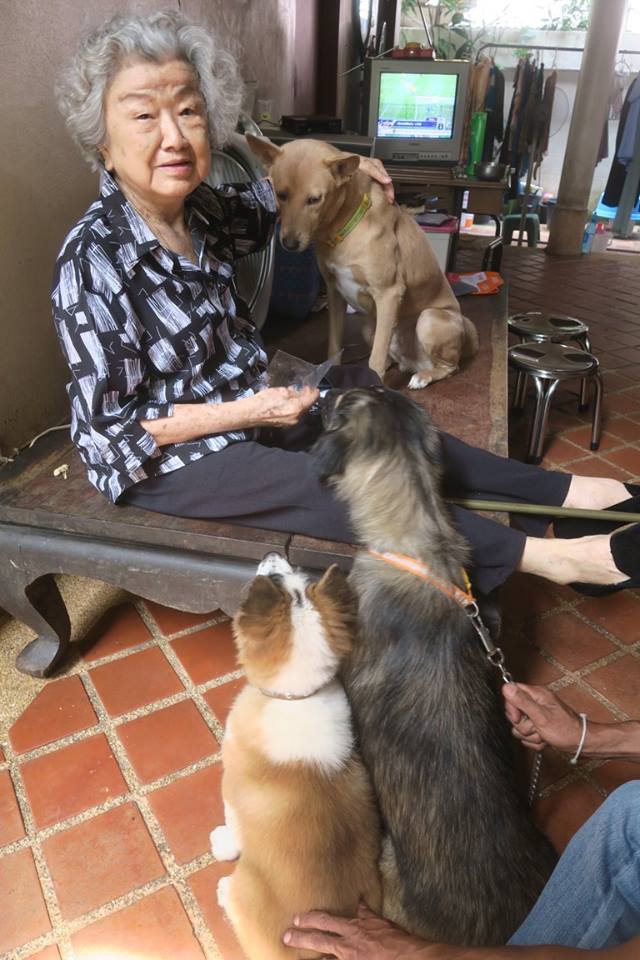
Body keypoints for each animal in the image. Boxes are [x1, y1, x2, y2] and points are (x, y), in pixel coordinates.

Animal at [211, 554, 382, 960]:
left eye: (276, 579)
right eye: (301, 582)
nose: (273, 556)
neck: (297, 697)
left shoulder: (231, 792)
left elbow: (232, 826)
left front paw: (221, 843)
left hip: (247, 891)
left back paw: (224, 891)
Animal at [246, 134, 478, 387]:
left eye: (315, 199)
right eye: (281, 194)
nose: (289, 244)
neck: (341, 229)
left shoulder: (389, 294)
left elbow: (375, 360)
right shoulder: (334, 292)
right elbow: (334, 344)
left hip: (429, 319)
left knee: (449, 367)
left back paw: (423, 376)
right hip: (370, 327)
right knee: (390, 356)